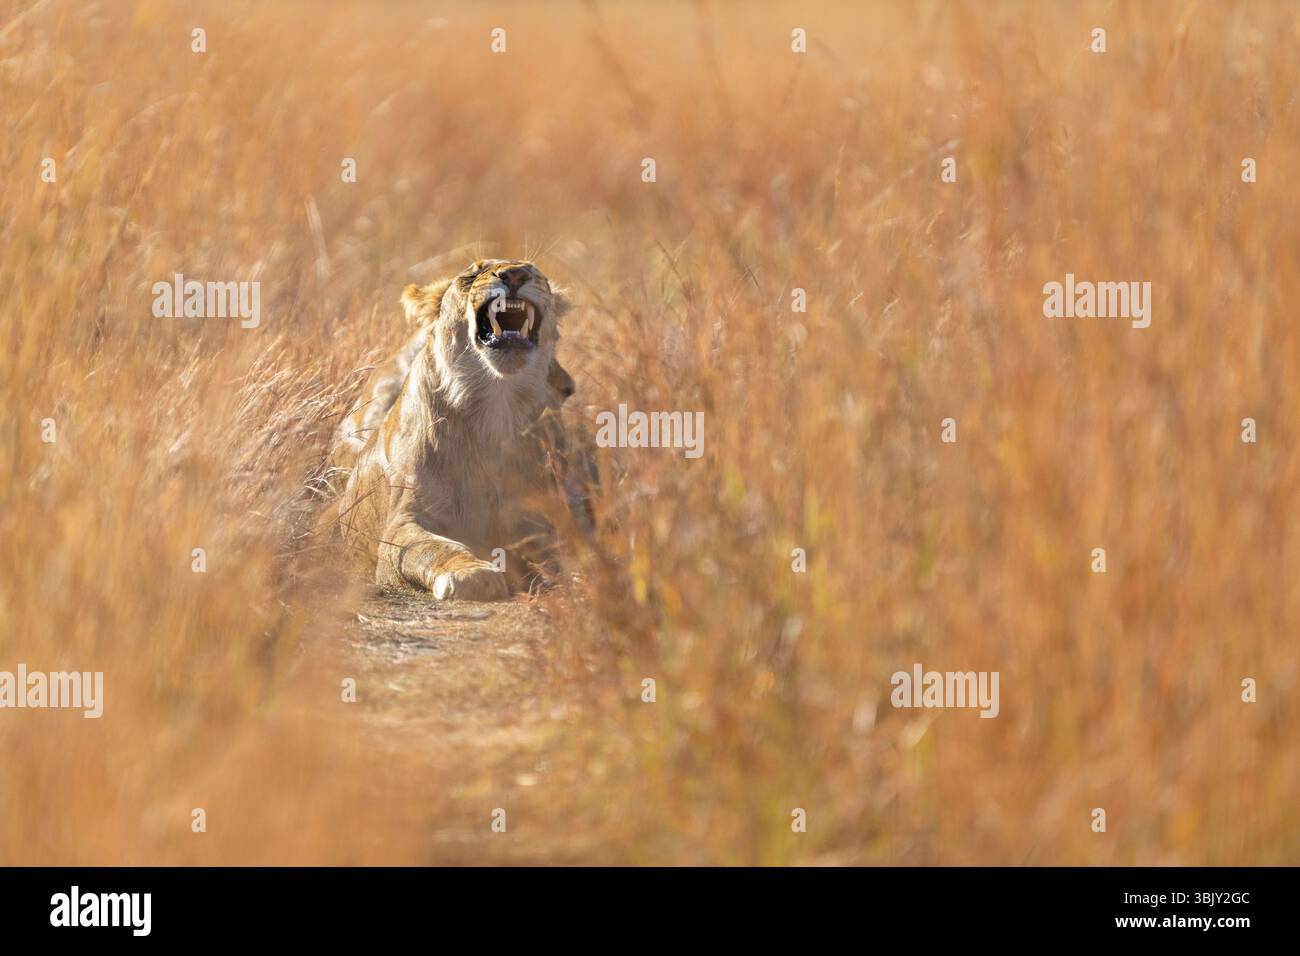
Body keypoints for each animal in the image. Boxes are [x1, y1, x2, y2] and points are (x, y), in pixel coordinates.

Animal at [324, 258, 591, 600]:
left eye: (534, 272)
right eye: (474, 272)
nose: (515, 274)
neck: (495, 410)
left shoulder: (544, 522)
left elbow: (572, 554)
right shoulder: (403, 525)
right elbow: (432, 548)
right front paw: (472, 573)